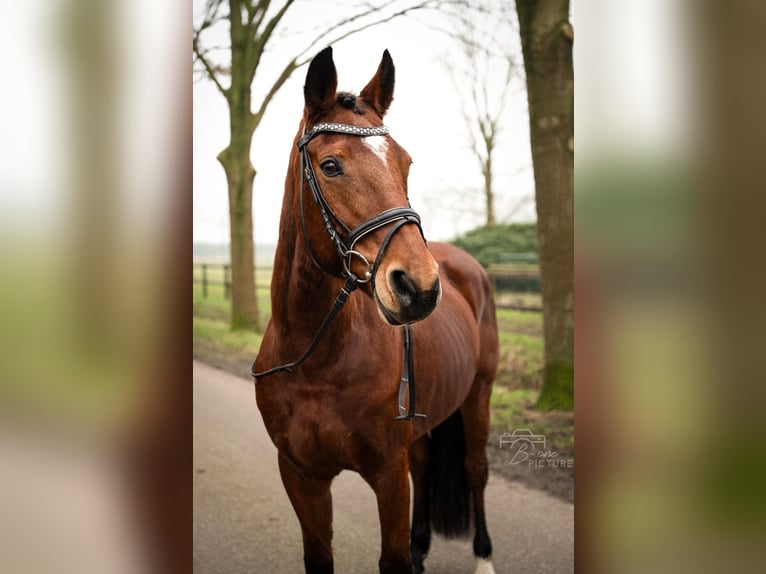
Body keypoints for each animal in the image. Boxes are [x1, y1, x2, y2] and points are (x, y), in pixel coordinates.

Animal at [255, 46, 500, 574]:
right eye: (330, 165)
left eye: (405, 163)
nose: (420, 287)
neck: (316, 359)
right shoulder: (300, 475)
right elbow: (320, 555)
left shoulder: (388, 473)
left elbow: (393, 558)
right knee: (427, 465)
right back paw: (423, 545)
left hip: (478, 396)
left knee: (475, 469)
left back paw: (484, 557)